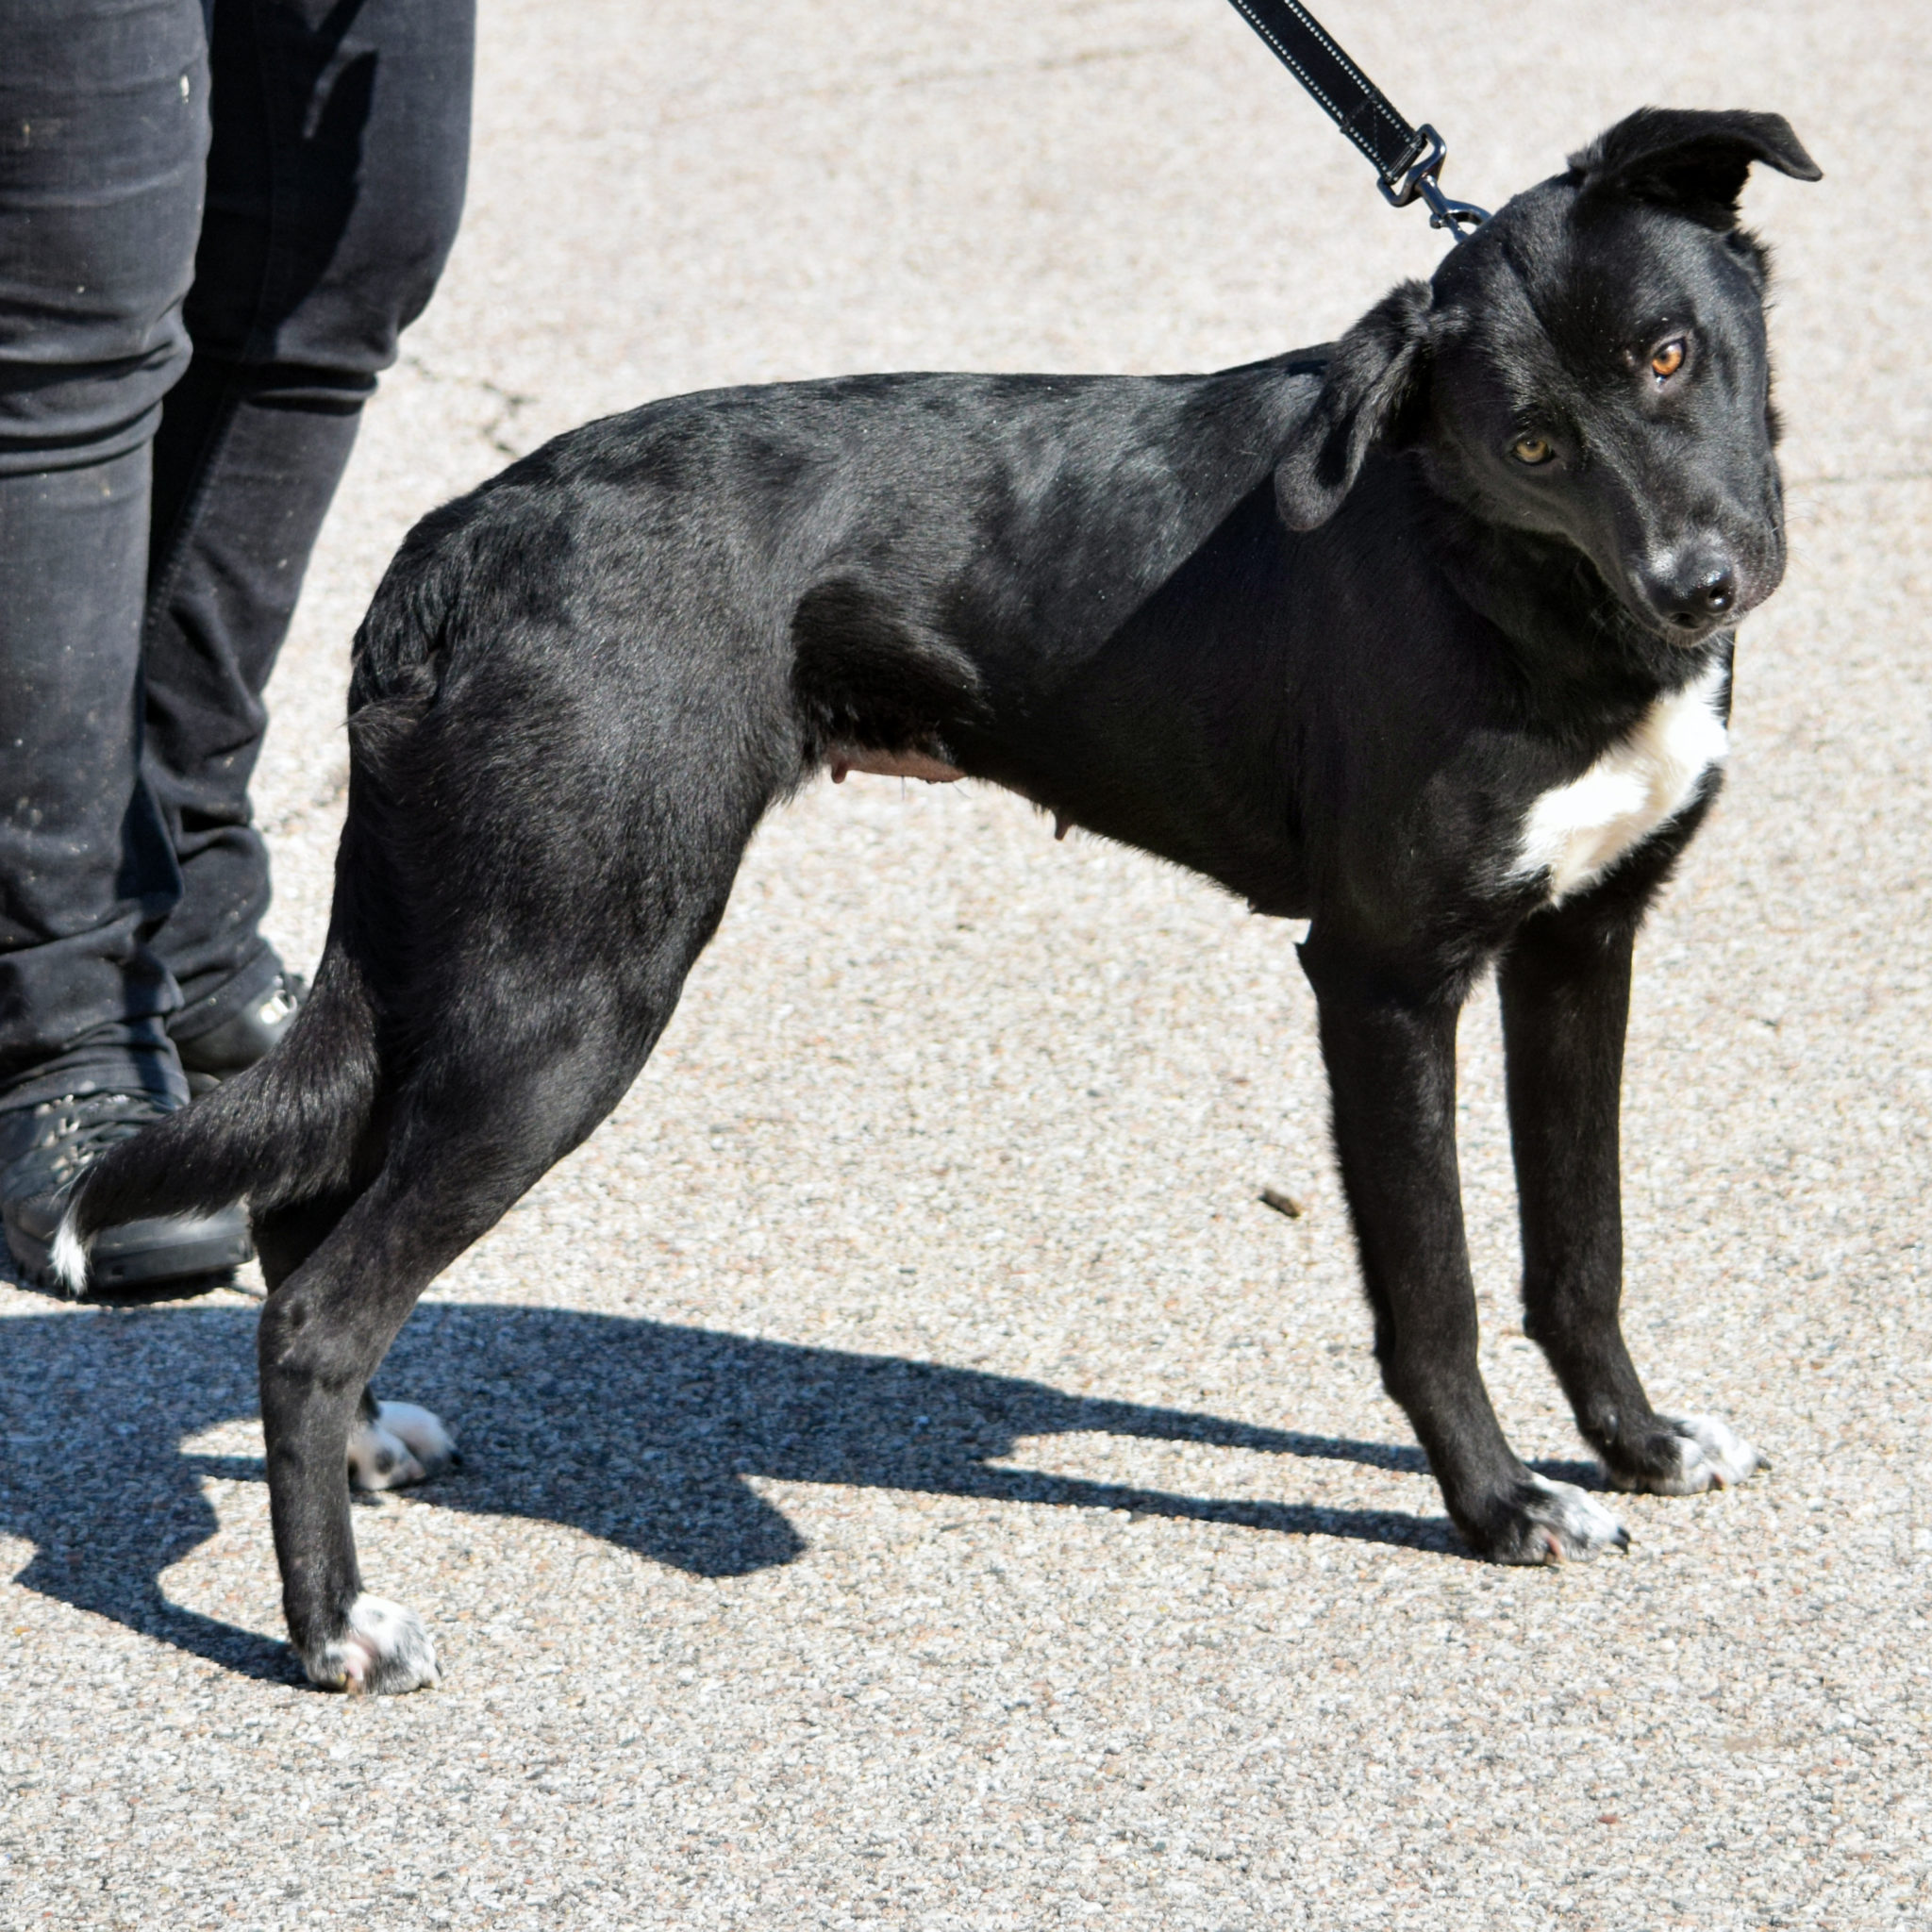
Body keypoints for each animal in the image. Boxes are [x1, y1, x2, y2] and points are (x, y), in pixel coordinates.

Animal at [56, 106, 1807, 1684]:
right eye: (1531, 442)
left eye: (1669, 355)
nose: (1701, 586)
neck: (1508, 580)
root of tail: (452, 543)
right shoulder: (1383, 981)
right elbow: (1432, 1291)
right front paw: (1501, 1507)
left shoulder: (1582, 945)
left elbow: (1580, 1247)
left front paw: (1636, 1442)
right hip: (564, 998)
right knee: (316, 1308)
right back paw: (330, 1627)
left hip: (461, 953)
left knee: (300, 1205)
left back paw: (371, 1457)